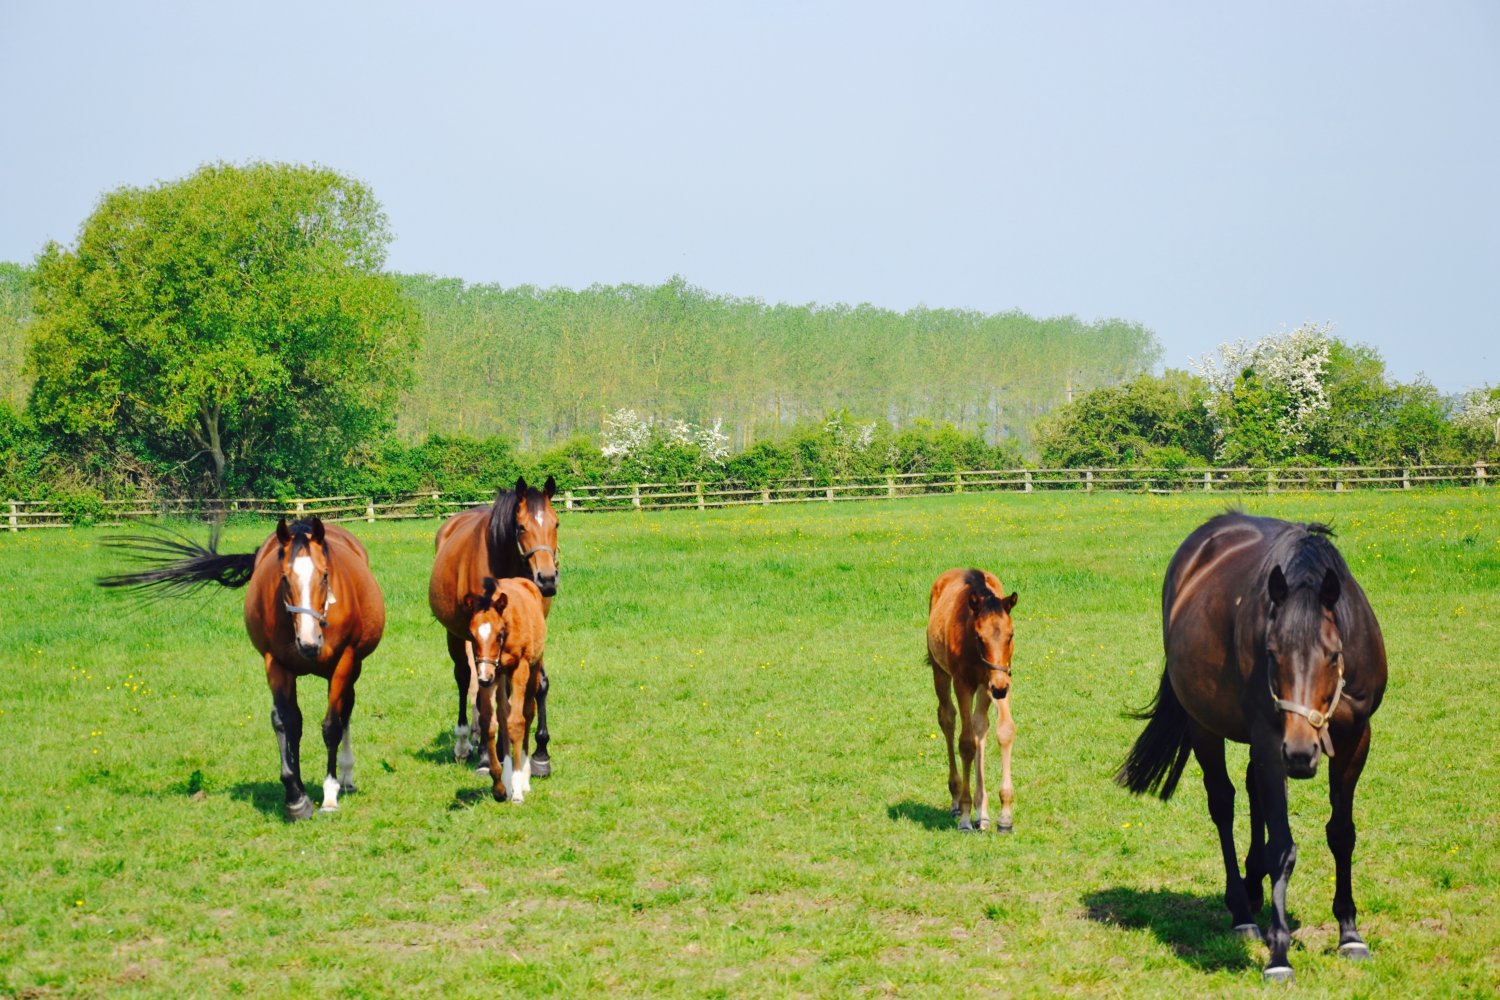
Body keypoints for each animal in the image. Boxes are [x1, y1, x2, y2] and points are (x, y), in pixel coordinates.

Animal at [100, 517, 385, 821]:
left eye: (324, 575)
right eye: (284, 578)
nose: (309, 643)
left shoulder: (344, 662)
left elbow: (332, 726)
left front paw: (329, 796)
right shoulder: (276, 664)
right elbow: (287, 722)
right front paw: (296, 797)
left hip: (353, 667)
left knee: (346, 712)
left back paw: (346, 777)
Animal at [430, 475, 560, 773]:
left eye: (556, 523)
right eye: (521, 527)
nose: (547, 579)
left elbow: (539, 684)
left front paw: (540, 754)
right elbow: (484, 690)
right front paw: (487, 756)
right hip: (455, 636)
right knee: (465, 678)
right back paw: (466, 743)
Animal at [451, 576, 548, 802]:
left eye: (499, 634)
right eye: (472, 635)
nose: (484, 678)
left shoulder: (520, 668)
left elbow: (517, 722)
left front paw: (518, 788)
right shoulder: (490, 673)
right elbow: (490, 723)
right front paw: (499, 786)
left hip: (534, 665)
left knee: (528, 712)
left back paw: (524, 777)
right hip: (500, 676)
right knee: (503, 713)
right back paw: (507, 776)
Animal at [925, 569, 1020, 832]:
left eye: (1011, 635)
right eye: (979, 636)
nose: (1000, 688)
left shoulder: (998, 678)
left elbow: (1003, 731)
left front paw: (1004, 816)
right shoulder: (963, 683)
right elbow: (966, 743)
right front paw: (966, 816)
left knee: (980, 727)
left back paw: (983, 812)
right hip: (940, 672)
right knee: (947, 719)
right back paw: (958, 801)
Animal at [1116, 513, 1387, 983]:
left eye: (1334, 654)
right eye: (1272, 653)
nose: (1301, 752)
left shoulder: (1356, 739)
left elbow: (1341, 833)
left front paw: (1350, 933)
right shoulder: (1269, 739)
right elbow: (1282, 847)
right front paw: (1279, 955)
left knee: (1252, 790)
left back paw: (1253, 885)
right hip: (1207, 727)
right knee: (1223, 803)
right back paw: (1242, 911)